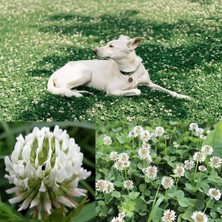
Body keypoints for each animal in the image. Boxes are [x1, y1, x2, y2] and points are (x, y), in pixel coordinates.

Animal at [47, 34, 190, 99]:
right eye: (107, 44)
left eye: (111, 46)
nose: (93, 50)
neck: (130, 71)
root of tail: (57, 71)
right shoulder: (111, 91)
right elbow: (137, 90)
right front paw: (132, 90)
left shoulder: (149, 83)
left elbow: (168, 90)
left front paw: (183, 96)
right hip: (85, 73)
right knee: (64, 89)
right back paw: (77, 94)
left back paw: (80, 91)